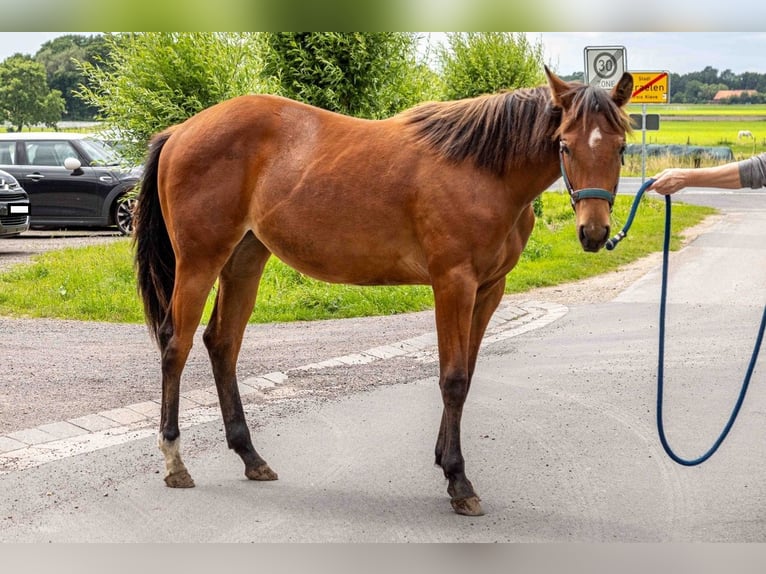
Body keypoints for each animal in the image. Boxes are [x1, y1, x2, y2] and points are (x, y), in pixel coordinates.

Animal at [134, 66, 633, 517]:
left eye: (621, 146)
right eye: (565, 144)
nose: (594, 232)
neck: (482, 170)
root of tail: (181, 132)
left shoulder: (490, 290)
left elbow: (467, 375)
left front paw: (444, 461)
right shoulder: (453, 284)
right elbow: (452, 379)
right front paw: (459, 480)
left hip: (245, 259)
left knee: (222, 343)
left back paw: (250, 456)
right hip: (199, 262)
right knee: (176, 345)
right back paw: (175, 462)